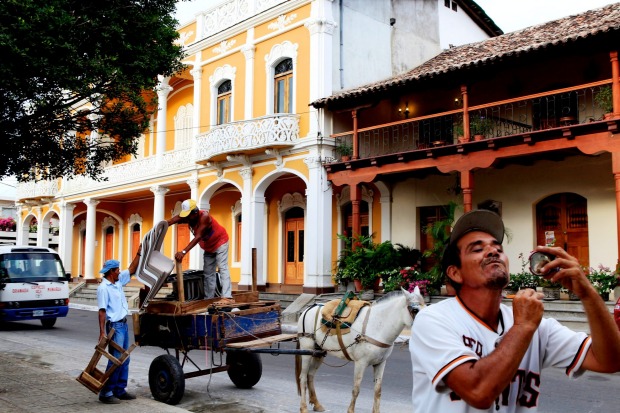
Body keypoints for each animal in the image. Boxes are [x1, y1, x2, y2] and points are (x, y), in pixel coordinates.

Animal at [296, 286, 426, 412]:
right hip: (307, 350)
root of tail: (308, 309)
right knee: (303, 377)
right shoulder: (360, 363)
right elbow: (356, 390)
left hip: (319, 352)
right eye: (415, 310)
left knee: (310, 375)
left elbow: (378, 390)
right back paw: (303, 407)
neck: (377, 325)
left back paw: (317, 404)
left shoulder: (381, 363)